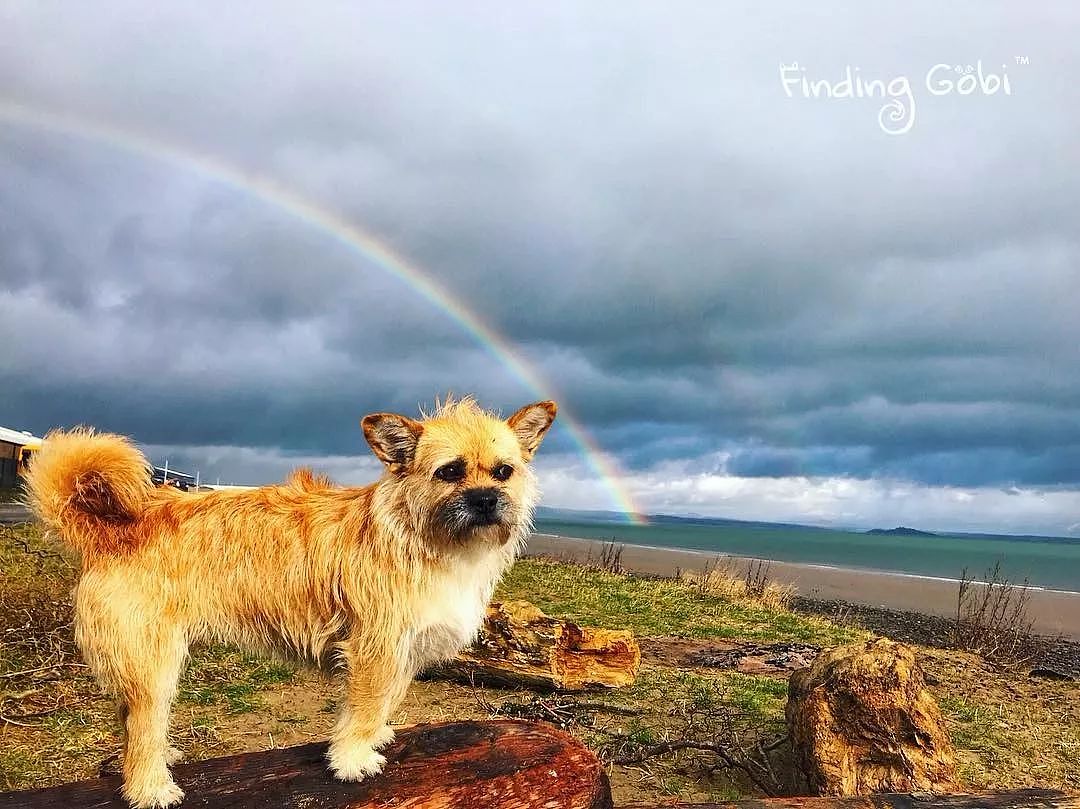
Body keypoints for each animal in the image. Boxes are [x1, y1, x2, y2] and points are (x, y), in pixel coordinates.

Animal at [25, 397, 557, 807]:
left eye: (504, 472)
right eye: (449, 472)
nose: (487, 499)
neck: (426, 536)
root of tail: (112, 531)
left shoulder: (403, 652)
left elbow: (384, 702)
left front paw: (375, 737)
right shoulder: (374, 648)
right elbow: (366, 705)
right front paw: (353, 759)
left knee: (130, 720)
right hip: (154, 666)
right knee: (142, 728)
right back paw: (151, 786)